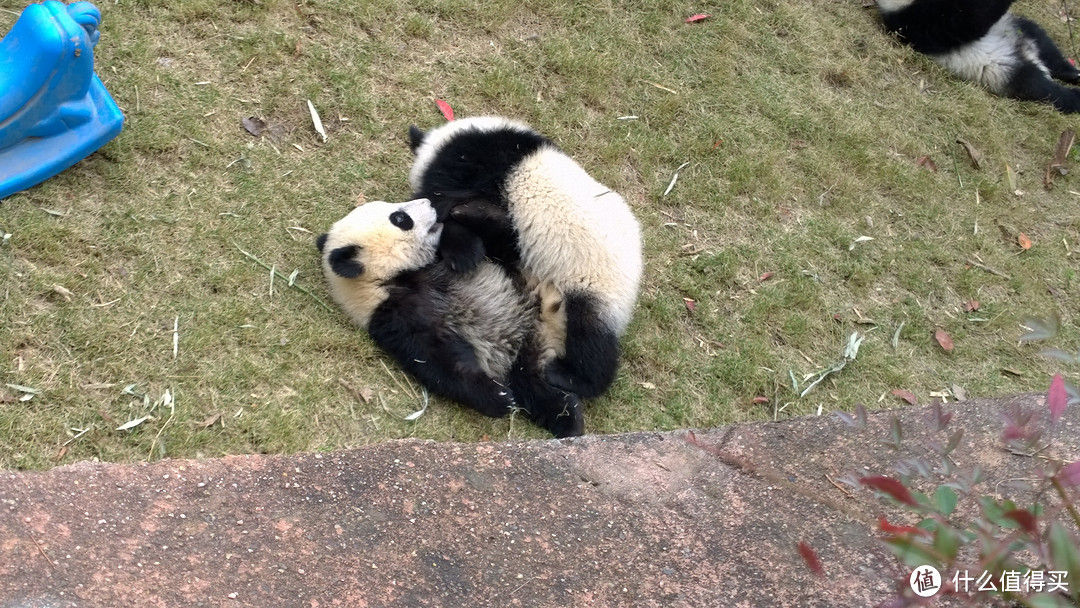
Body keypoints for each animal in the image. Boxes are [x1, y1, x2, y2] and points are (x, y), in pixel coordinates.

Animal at [315, 196, 587, 438]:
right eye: (400, 218)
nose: (429, 202)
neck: (395, 279)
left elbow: (499, 244)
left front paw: (465, 226)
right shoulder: (395, 318)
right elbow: (440, 362)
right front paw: (498, 398)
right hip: (522, 361)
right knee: (532, 386)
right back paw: (566, 417)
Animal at [406, 116, 639, 401]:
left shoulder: (476, 163)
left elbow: (446, 202)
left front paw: (460, 244)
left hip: (595, 280)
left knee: (590, 336)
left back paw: (570, 376)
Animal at [872, 0, 1080, 112]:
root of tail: (1027, 54)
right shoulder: (915, 22)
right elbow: (965, 20)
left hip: (1017, 27)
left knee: (1046, 46)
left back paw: (1072, 72)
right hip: (1003, 72)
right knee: (1041, 89)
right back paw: (1073, 95)